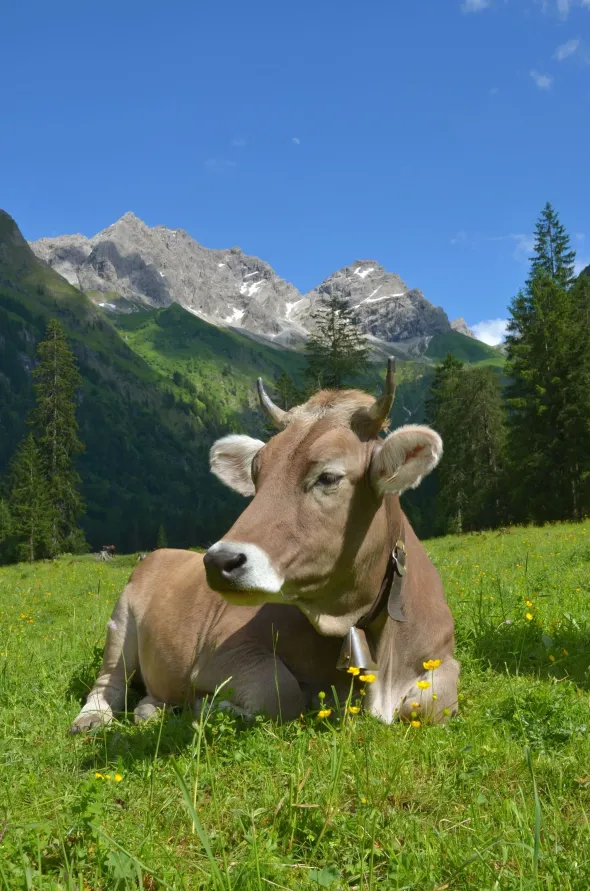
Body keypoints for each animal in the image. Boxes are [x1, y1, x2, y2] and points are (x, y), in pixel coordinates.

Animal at [69, 361, 459, 734]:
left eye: (328, 477)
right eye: (257, 474)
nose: (218, 561)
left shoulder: (442, 657)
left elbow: (432, 703)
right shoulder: (221, 654)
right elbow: (282, 694)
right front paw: (208, 707)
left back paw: (151, 710)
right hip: (120, 623)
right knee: (109, 681)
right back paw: (93, 719)